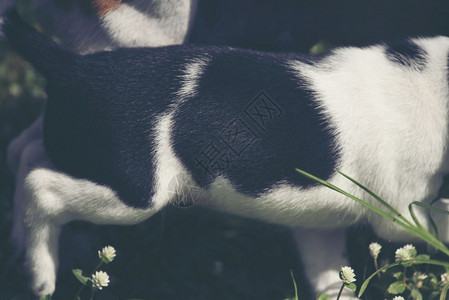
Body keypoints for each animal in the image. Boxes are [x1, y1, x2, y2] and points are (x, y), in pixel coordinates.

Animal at [5, 7, 448, 300]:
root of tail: (72, 67)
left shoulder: (319, 225)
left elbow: (330, 276)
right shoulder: (401, 214)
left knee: (24, 154)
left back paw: (18, 245)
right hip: (133, 193)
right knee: (41, 187)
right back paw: (41, 276)